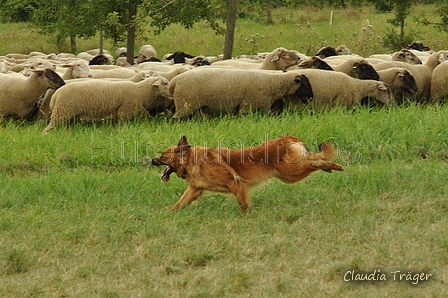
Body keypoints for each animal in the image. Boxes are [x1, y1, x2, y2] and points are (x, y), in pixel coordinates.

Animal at [44, 74, 172, 133]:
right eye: (165, 83)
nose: (171, 94)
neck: (140, 91)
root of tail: (55, 96)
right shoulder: (124, 112)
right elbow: (123, 127)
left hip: (72, 116)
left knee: (68, 128)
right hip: (62, 111)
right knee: (49, 128)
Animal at [150, 135, 344, 212]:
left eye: (163, 156)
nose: (152, 160)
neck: (192, 160)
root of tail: (290, 138)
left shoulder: (235, 183)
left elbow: (242, 203)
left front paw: (246, 215)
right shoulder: (194, 190)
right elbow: (179, 204)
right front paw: (169, 214)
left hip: (290, 173)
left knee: (315, 163)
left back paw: (334, 166)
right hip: (289, 173)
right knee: (314, 161)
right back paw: (330, 167)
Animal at [170, 68, 314, 118]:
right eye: (305, 84)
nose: (311, 97)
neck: (273, 83)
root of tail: (174, 81)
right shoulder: (247, 106)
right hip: (185, 104)